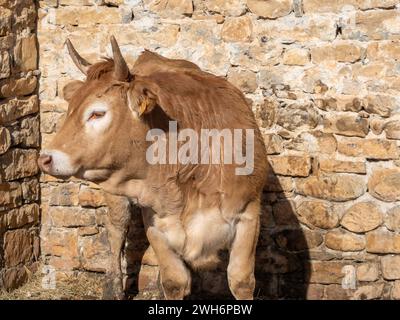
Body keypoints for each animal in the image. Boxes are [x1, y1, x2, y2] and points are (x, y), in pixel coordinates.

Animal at [39, 37, 268, 300]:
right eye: (70, 110)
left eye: (97, 113)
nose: (45, 158)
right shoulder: (156, 222)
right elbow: (174, 281)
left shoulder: (249, 213)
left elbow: (241, 281)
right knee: (117, 230)